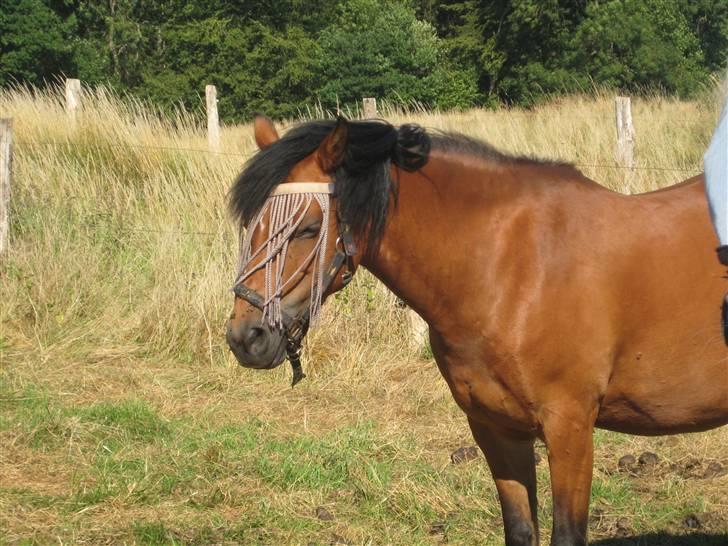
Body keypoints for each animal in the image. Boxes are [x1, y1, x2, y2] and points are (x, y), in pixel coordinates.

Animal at [225, 116, 724, 544]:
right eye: (250, 225)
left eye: (308, 228)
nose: (246, 337)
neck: (512, 268)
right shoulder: (496, 429)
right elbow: (520, 530)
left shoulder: (571, 427)